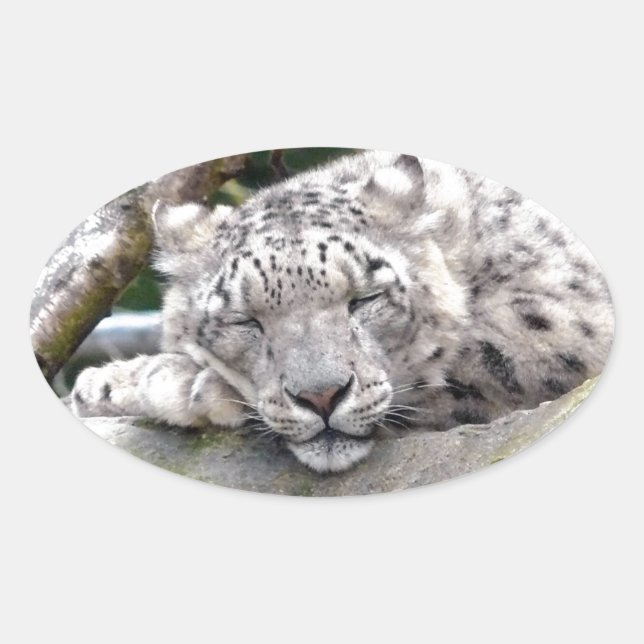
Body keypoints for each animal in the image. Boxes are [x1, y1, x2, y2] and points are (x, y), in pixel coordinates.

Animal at [71, 151, 614, 473]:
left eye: (365, 299)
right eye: (245, 320)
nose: (321, 397)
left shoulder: (563, 323)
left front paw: (177, 382)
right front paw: (108, 386)